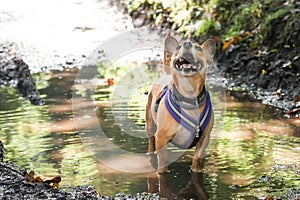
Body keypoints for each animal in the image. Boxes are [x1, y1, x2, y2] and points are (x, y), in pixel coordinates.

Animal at [145, 33, 216, 173]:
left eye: (198, 48)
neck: (188, 95)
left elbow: (197, 158)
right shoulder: (161, 137)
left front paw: (196, 169)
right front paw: (162, 170)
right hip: (150, 126)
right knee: (151, 141)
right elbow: (163, 158)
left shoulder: (204, 138)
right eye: (178, 47)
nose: (187, 44)